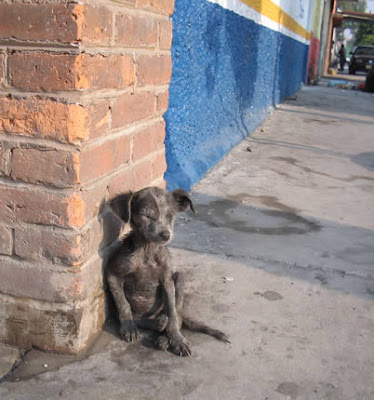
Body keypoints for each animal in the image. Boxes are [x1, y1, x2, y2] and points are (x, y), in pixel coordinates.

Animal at [103, 185, 229, 356]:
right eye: (146, 215)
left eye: (170, 216)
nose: (165, 235)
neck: (147, 250)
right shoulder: (112, 273)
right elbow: (123, 304)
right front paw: (129, 328)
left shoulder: (166, 280)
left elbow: (172, 311)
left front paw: (177, 339)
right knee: (142, 319)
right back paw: (157, 323)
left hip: (180, 278)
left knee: (177, 314)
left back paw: (163, 335)